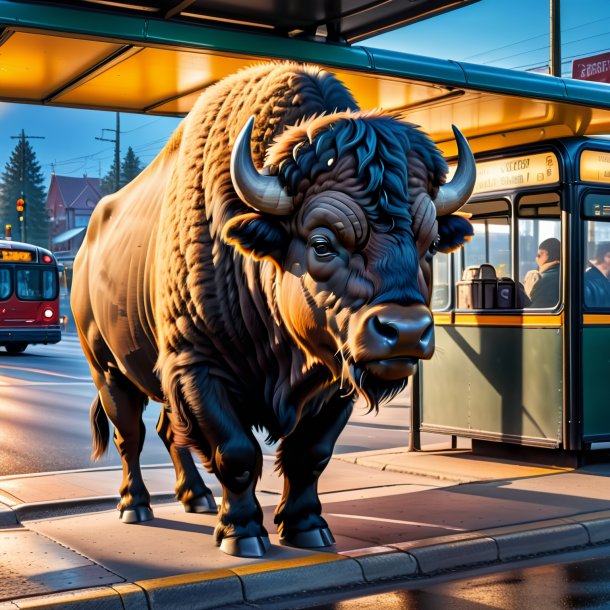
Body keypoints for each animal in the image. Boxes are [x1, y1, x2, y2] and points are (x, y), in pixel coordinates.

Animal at [70, 61, 470, 556]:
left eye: (430, 244)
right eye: (322, 243)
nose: (407, 331)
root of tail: (84, 251)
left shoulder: (334, 379)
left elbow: (309, 455)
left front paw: (307, 528)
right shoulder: (198, 367)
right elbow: (236, 454)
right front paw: (242, 535)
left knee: (167, 430)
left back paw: (196, 498)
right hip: (108, 369)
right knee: (131, 434)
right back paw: (135, 506)